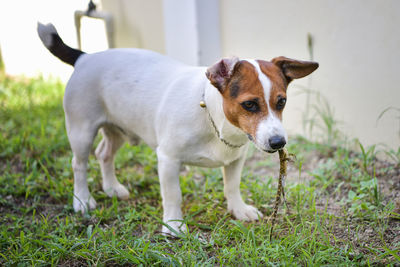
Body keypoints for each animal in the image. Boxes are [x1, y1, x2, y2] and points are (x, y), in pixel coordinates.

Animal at [38, 23, 318, 237]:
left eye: (281, 102)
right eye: (249, 104)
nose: (279, 142)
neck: (214, 119)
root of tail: (84, 56)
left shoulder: (235, 159)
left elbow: (232, 186)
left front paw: (238, 209)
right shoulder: (168, 159)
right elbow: (173, 195)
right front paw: (174, 225)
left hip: (117, 128)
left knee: (104, 154)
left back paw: (112, 188)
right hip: (81, 131)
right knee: (79, 164)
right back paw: (82, 200)